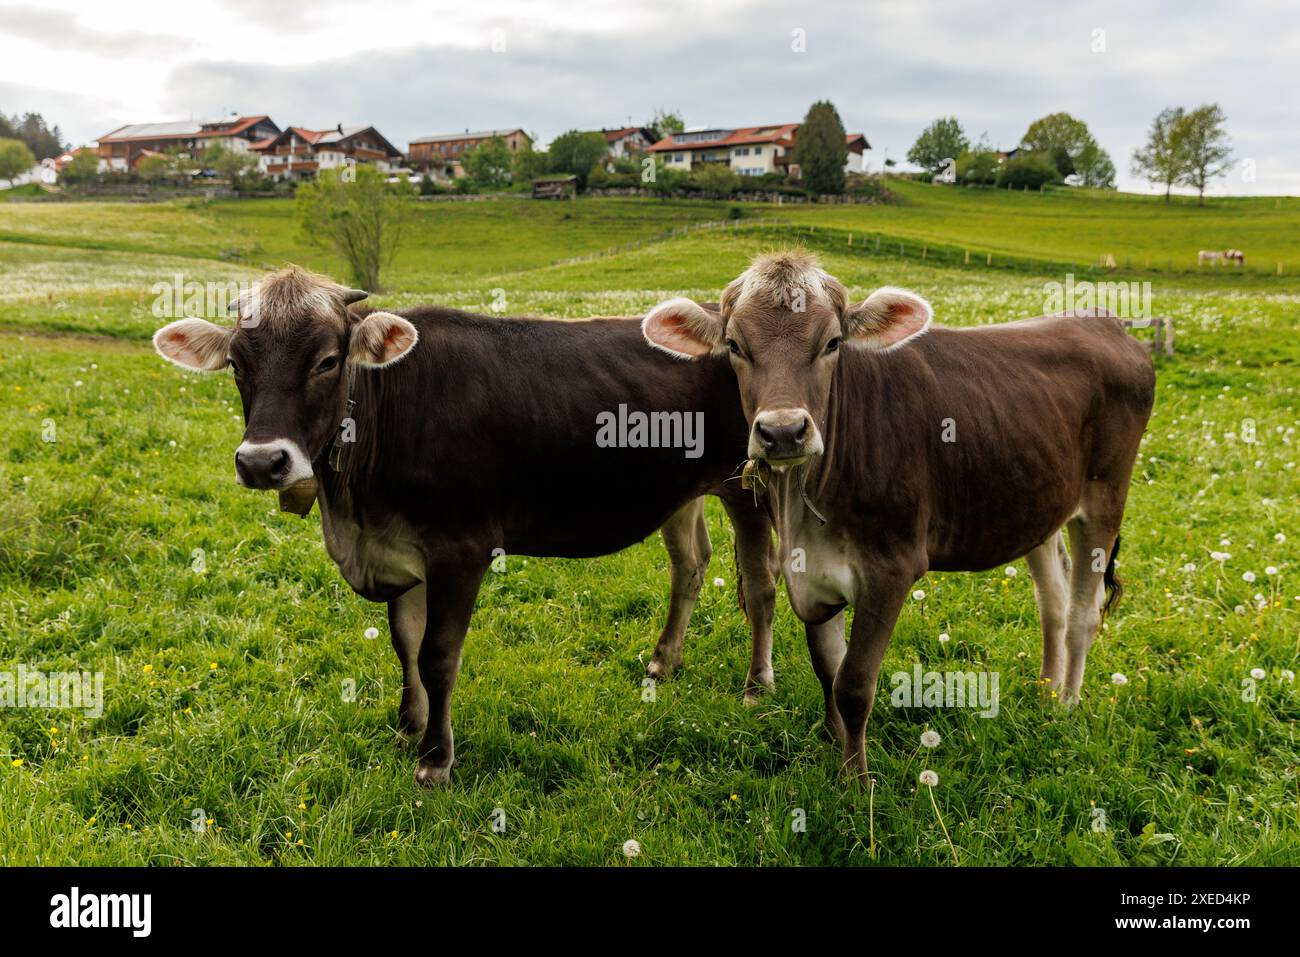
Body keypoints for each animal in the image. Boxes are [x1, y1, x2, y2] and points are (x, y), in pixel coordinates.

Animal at [153, 266, 780, 786]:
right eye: (237, 364)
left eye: (327, 360)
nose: (263, 462)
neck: (353, 513)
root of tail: (720, 319)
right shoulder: (397, 546)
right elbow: (405, 642)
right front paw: (409, 724)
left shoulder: (461, 549)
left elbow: (437, 655)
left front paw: (435, 758)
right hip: (681, 492)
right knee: (690, 565)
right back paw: (664, 661)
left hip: (748, 482)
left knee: (760, 585)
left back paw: (757, 688)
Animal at [641, 250, 1155, 780]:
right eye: (735, 345)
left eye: (832, 343)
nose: (783, 431)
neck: (806, 503)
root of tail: (1101, 321)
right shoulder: (811, 573)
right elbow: (827, 668)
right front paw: (834, 743)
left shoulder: (891, 569)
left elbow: (853, 683)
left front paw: (855, 781)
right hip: (1038, 505)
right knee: (1052, 601)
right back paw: (1047, 695)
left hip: (1105, 497)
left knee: (1082, 612)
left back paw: (1068, 705)